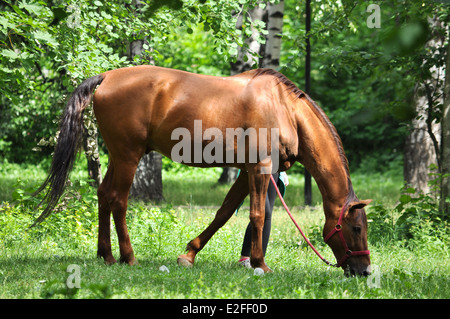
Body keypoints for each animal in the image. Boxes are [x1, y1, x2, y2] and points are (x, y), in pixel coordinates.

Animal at [33, 65, 372, 278]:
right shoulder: (260, 169)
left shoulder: (246, 172)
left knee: (104, 195)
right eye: (356, 228)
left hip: (118, 156)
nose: (364, 270)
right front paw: (260, 264)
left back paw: (106, 254)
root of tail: (106, 77)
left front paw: (189, 254)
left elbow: (224, 213)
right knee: (118, 199)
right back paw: (128, 257)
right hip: (128, 156)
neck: (284, 108)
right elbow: (257, 216)